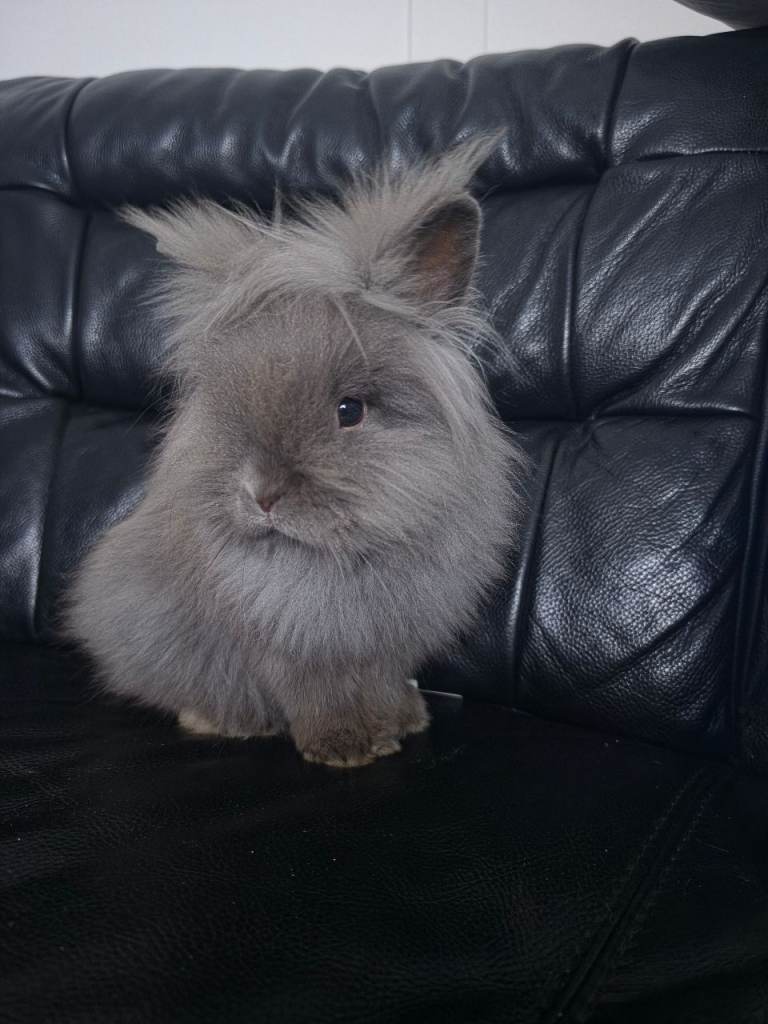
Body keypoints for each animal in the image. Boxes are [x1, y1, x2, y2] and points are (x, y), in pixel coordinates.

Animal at [64, 137, 526, 768]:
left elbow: (384, 681)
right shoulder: (287, 647)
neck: (337, 557)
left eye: (350, 410)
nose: (259, 495)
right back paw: (221, 720)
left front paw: (405, 723)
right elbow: (317, 694)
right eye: (225, 402)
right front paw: (345, 748)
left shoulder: (387, 643)